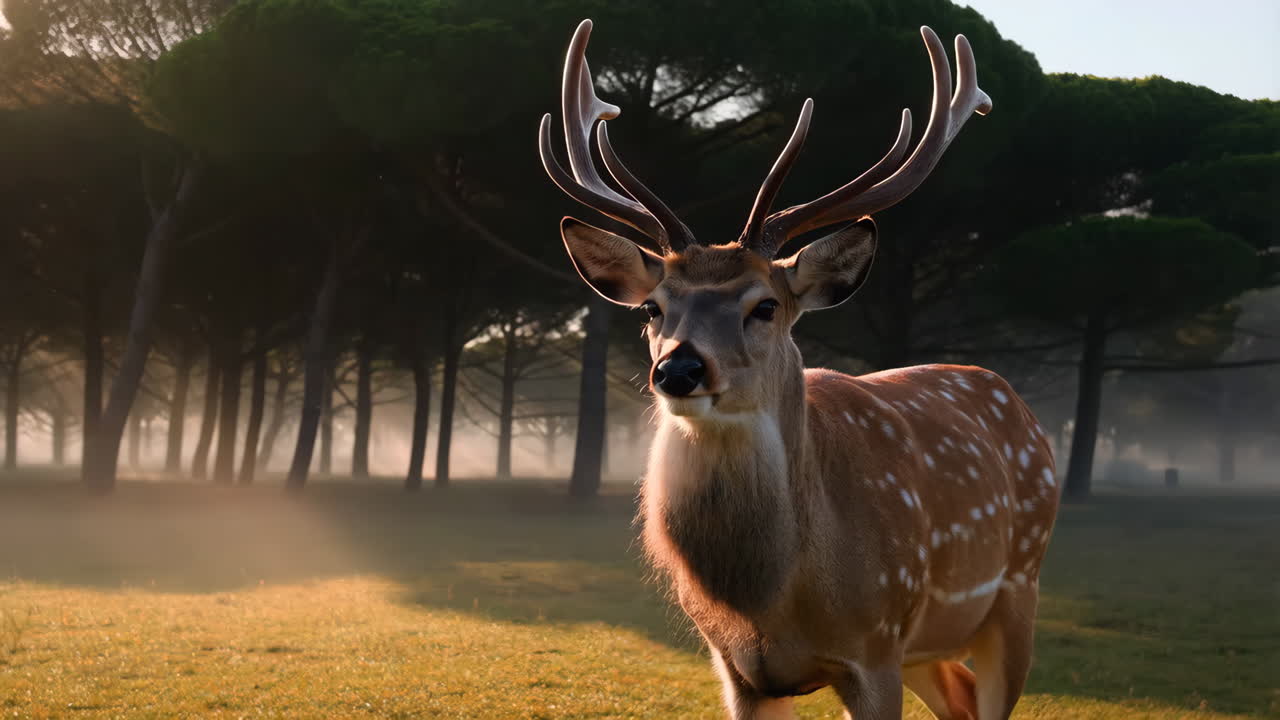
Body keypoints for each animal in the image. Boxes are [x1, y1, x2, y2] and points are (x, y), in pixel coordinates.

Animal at [537, 19, 1059, 720]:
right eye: (653, 307)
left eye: (765, 306)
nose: (678, 370)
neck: (775, 600)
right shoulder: (738, 670)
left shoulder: (876, 647)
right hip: (932, 648)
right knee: (961, 699)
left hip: (1018, 590)